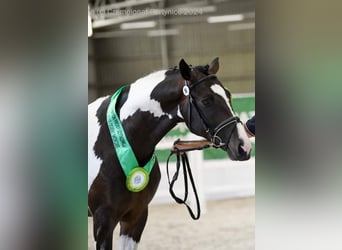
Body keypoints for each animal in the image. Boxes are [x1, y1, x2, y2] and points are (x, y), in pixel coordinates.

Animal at [88, 57, 251, 249]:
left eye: (228, 95)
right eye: (206, 100)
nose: (244, 146)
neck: (111, 144)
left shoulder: (135, 217)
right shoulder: (103, 221)